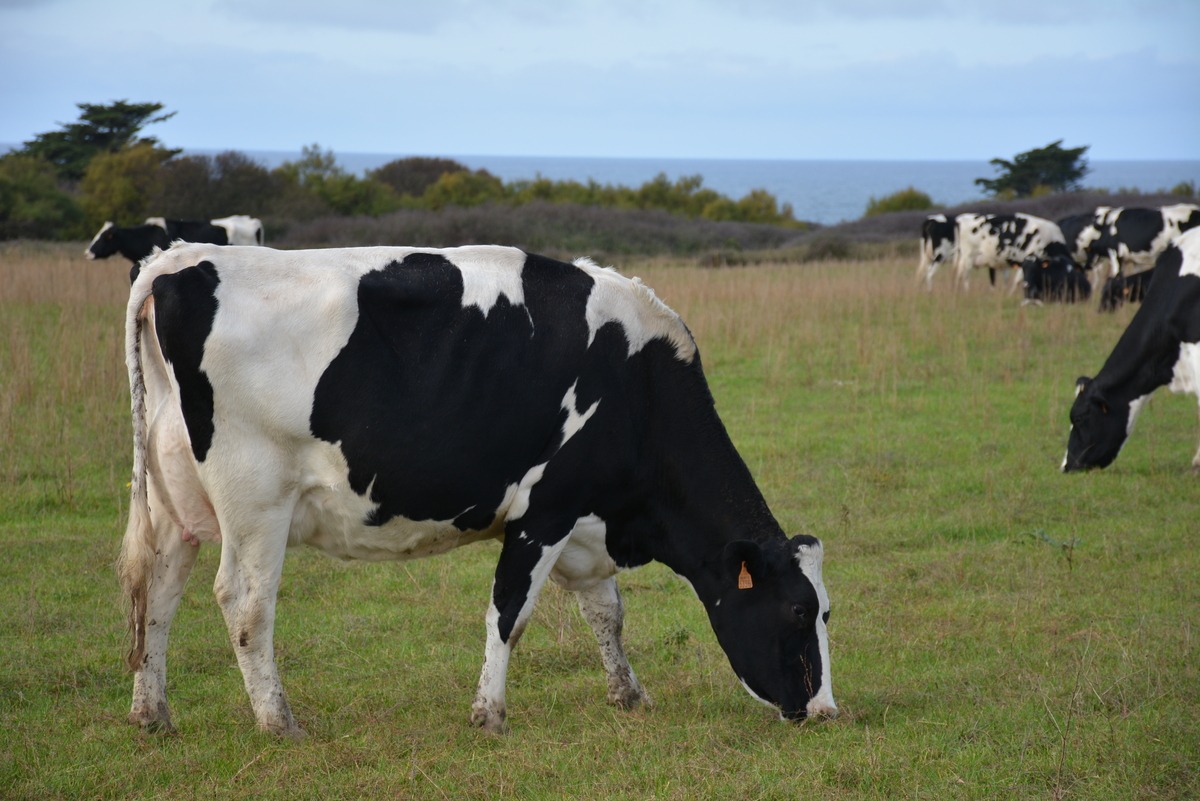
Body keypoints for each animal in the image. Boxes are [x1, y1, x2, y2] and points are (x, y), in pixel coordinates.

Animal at [119, 241, 835, 733]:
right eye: (800, 612)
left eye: (827, 612)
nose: (826, 710)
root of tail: (180, 259)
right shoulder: (545, 509)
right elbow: (510, 612)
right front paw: (489, 713)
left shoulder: (583, 521)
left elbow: (606, 611)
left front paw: (629, 695)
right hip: (256, 500)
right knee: (244, 603)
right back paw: (279, 722)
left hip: (171, 500)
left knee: (155, 589)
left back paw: (152, 714)